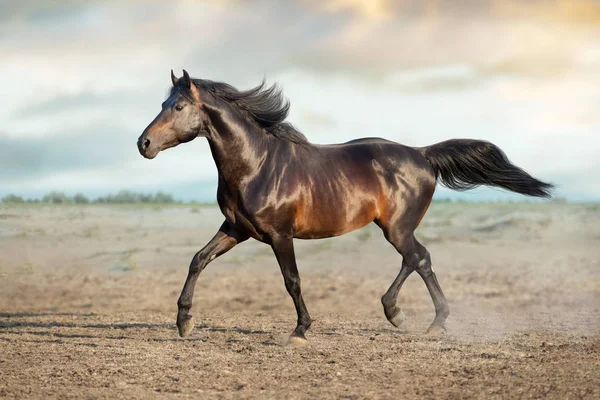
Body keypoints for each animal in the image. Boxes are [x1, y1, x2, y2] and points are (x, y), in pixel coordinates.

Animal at [137, 70, 552, 346]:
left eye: (178, 106)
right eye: (162, 104)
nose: (143, 144)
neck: (257, 164)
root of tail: (421, 154)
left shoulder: (279, 235)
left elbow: (292, 280)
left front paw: (300, 331)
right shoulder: (237, 229)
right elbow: (198, 260)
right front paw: (184, 322)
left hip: (396, 227)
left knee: (418, 257)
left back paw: (411, 317)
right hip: (395, 227)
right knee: (419, 259)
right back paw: (416, 317)